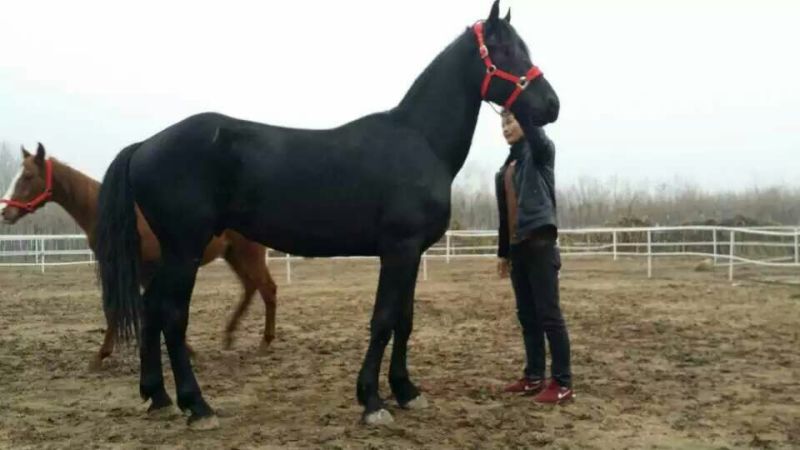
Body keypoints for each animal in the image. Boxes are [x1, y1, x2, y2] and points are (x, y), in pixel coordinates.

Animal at [0, 145, 279, 370]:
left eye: (27, 176)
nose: (5, 212)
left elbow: (120, 309)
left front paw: (100, 356)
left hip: (248, 254)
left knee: (267, 289)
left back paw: (265, 343)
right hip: (233, 255)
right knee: (251, 287)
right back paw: (230, 336)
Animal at [94, 1, 560, 429]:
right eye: (504, 50)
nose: (551, 105)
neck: (419, 141)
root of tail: (145, 145)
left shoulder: (412, 254)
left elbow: (404, 320)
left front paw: (406, 392)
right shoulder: (398, 249)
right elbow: (383, 320)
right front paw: (372, 401)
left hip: (174, 253)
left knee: (151, 308)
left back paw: (157, 396)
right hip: (185, 250)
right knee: (171, 315)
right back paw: (198, 406)